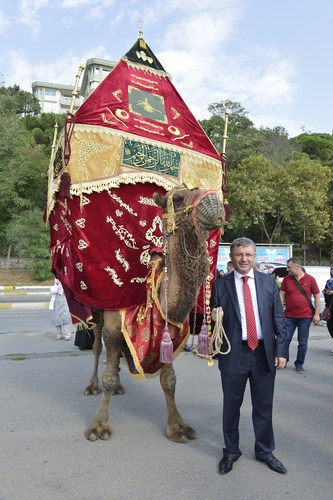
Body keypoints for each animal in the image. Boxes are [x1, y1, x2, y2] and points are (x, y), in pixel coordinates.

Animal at [82, 187, 224, 442]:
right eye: (178, 198)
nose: (214, 201)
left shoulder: (169, 337)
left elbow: (169, 381)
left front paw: (178, 428)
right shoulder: (113, 327)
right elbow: (108, 376)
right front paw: (99, 426)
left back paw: (120, 386)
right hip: (97, 315)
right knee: (98, 348)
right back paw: (92, 386)